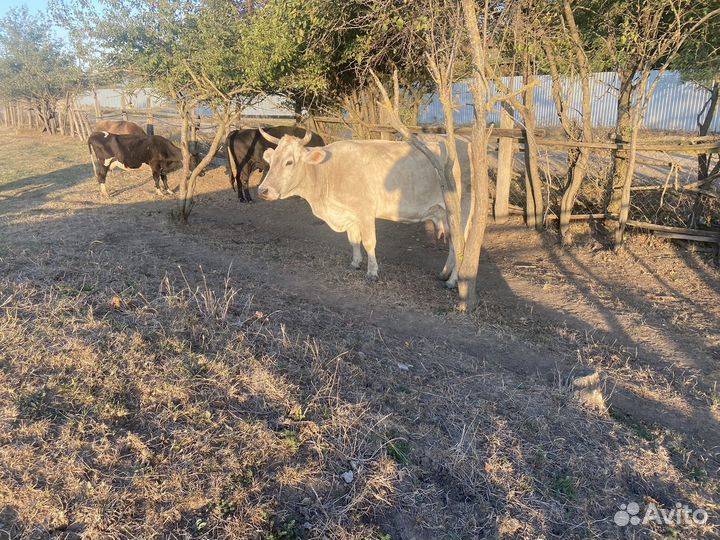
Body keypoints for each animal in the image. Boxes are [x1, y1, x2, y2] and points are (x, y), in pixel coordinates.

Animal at [256, 129, 470, 286]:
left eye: (289, 162)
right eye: (271, 160)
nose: (262, 190)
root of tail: (462, 140)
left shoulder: (365, 211)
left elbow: (368, 242)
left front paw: (372, 272)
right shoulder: (349, 213)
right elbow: (353, 240)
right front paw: (355, 262)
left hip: (462, 211)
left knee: (460, 244)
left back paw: (453, 281)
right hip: (445, 213)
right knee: (453, 244)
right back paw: (444, 273)